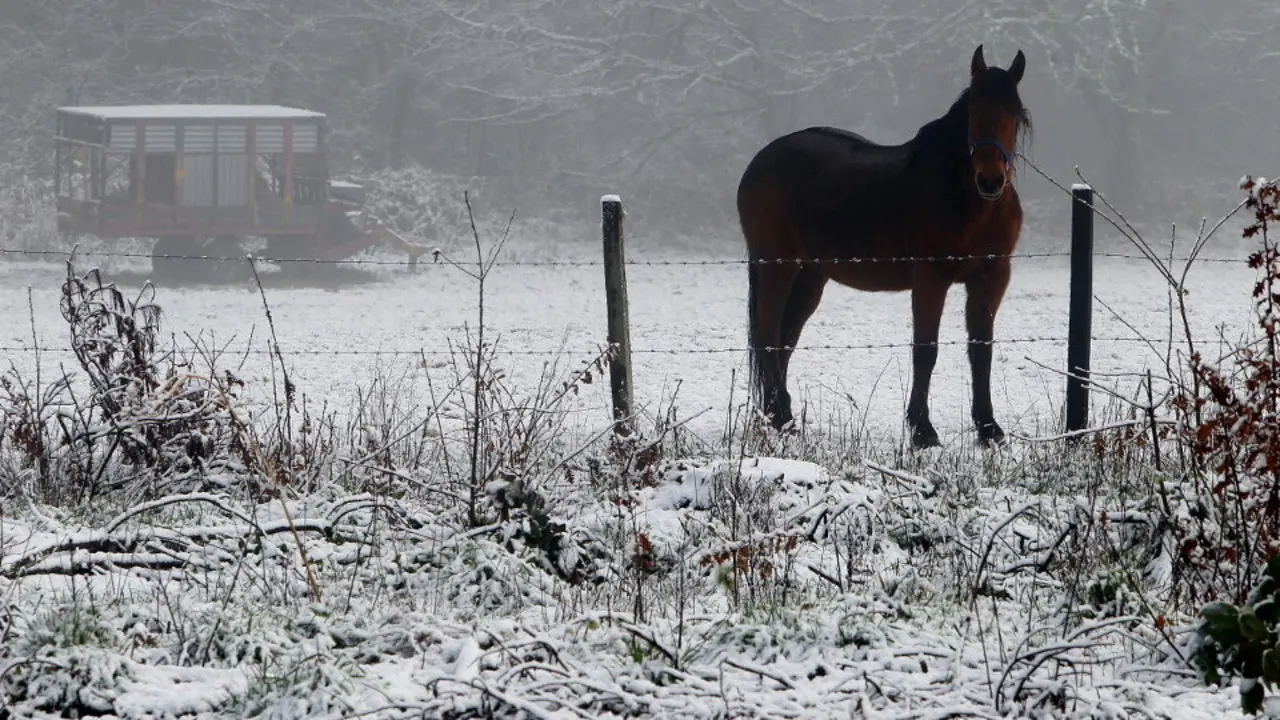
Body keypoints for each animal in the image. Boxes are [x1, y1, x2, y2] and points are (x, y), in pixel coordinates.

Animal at [736, 45, 1030, 449]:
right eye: (973, 111)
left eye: (1013, 114)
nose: (990, 180)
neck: (967, 202)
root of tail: (759, 161)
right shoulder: (930, 277)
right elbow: (925, 350)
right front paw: (923, 430)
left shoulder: (992, 277)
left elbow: (980, 349)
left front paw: (989, 429)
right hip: (777, 265)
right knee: (767, 334)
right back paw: (780, 415)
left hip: (811, 275)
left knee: (785, 336)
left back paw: (778, 414)